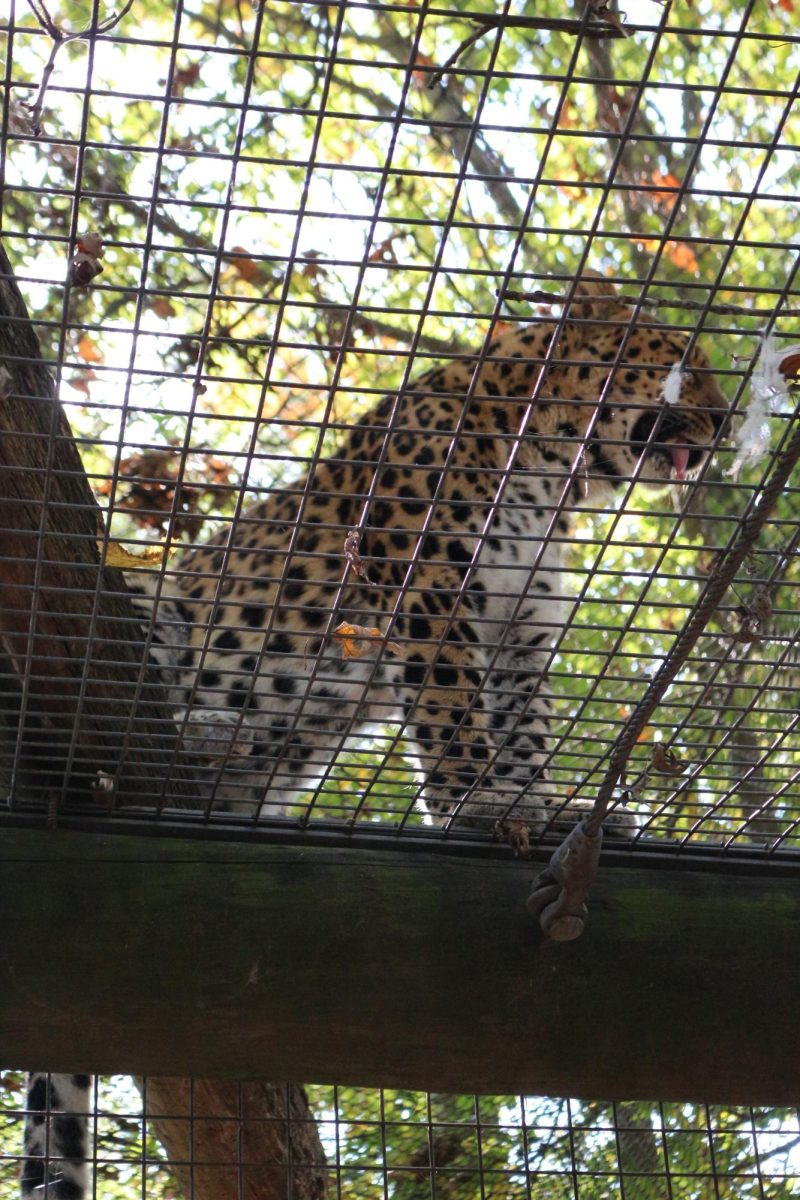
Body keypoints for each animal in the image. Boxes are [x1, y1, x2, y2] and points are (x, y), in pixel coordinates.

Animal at [130, 280, 724, 844]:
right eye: (683, 359)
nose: (723, 419)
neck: (548, 476)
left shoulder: (520, 622)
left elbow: (524, 727)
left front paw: (539, 804)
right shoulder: (428, 584)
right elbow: (450, 700)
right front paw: (478, 800)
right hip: (150, 597)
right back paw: (208, 727)